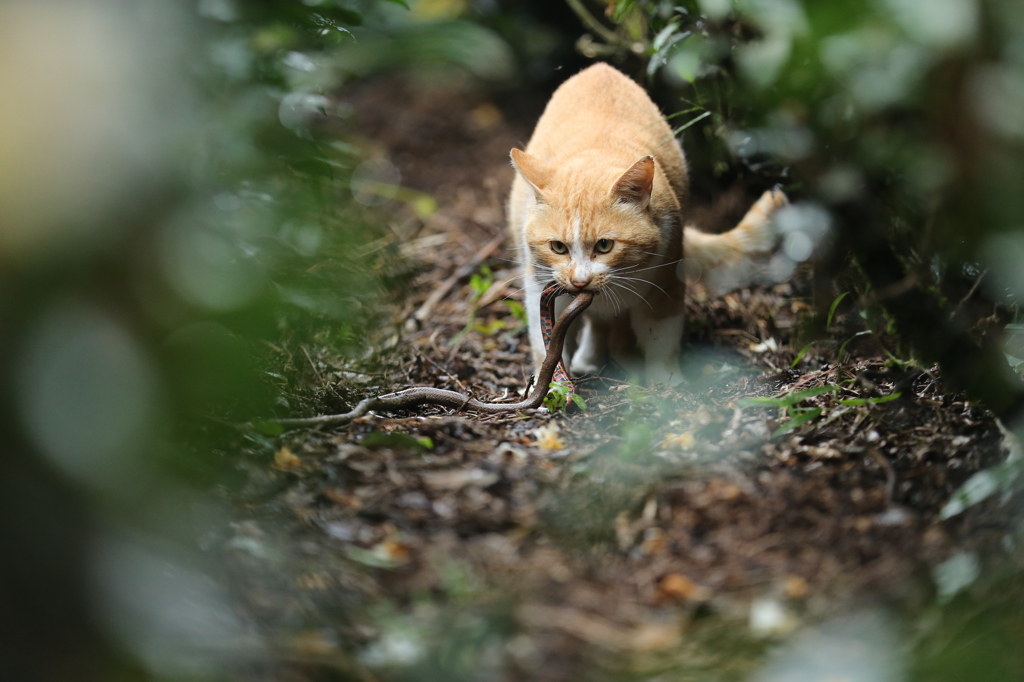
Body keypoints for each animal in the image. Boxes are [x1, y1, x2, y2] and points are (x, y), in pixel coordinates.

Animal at [507, 61, 786, 382]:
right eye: (558, 247)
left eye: (605, 246)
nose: (580, 281)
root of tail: (599, 67)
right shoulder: (544, 287)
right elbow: (549, 343)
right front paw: (554, 385)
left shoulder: (666, 281)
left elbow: (660, 338)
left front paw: (667, 384)